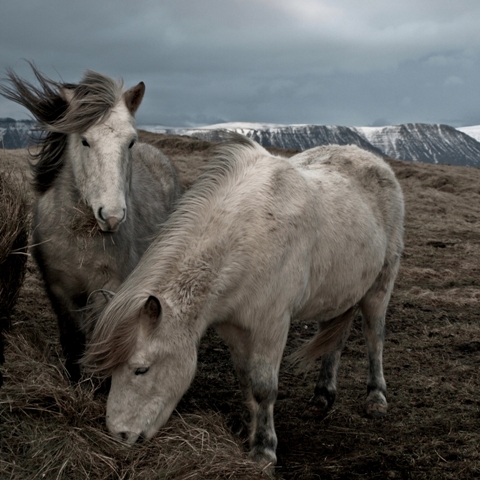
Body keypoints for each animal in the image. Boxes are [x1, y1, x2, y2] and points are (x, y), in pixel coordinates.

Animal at [0, 66, 181, 382]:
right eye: (85, 140)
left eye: (130, 141)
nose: (112, 216)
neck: (80, 239)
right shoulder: (59, 290)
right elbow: (73, 338)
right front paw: (74, 379)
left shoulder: (108, 289)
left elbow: (99, 337)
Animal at [84, 134, 404, 464]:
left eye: (141, 369)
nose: (120, 435)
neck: (248, 238)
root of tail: (371, 159)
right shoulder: (233, 327)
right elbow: (245, 380)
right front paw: (247, 433)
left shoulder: (272, 326)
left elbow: (264, 387)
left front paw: (264, 451)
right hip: (339, 292)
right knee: (334, 341)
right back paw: (322, 396)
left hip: (380, 286)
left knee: (374, 337)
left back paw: (376, 398)